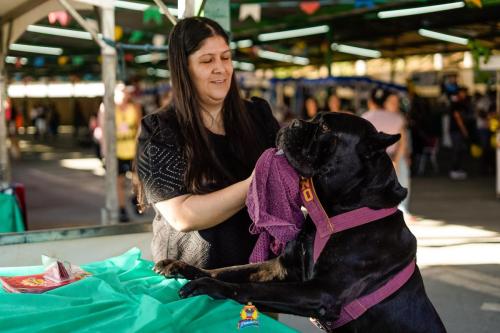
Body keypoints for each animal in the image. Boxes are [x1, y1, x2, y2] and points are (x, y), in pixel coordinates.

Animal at [155, 112, 446, 332]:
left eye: (325, 128)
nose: (295, 121)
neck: (329, 214)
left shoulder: (319, 291)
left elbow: (246, 287)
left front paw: (208, 286)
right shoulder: (281, 268)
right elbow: (230, 269)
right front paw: (183, 267)